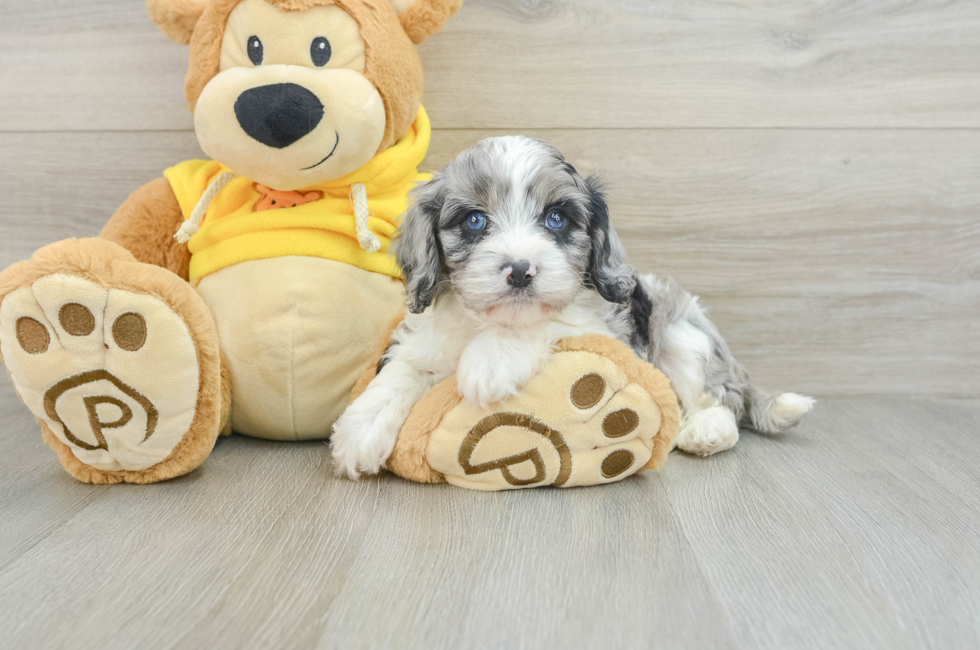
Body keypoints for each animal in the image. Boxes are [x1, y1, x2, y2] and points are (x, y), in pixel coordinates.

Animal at [334, 135, 816, 476]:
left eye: (556, 219)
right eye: (474, 220)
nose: (520, 270)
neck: (485, 323)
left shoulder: (597, 326)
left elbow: (547, 322)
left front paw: (491, 361)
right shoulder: (427, 340)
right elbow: (404, 371)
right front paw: (360, 430)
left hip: (682, 333)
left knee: (717, 398)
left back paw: (705, 430)